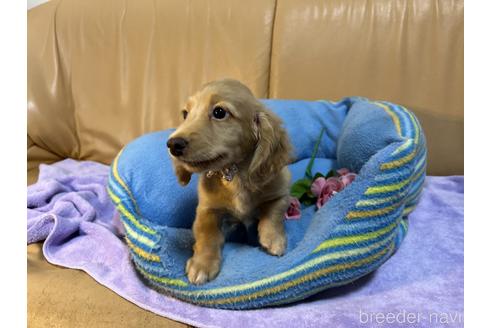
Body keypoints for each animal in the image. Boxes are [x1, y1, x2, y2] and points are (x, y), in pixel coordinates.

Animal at [167, 79, 294, 284]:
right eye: (185, 114)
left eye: (219, 112)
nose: (172, 144)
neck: (235, 176)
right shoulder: (206, 209)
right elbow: (207, 234)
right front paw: (202, 264)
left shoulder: (281, 193)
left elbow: (273, 213)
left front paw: (273, 239)